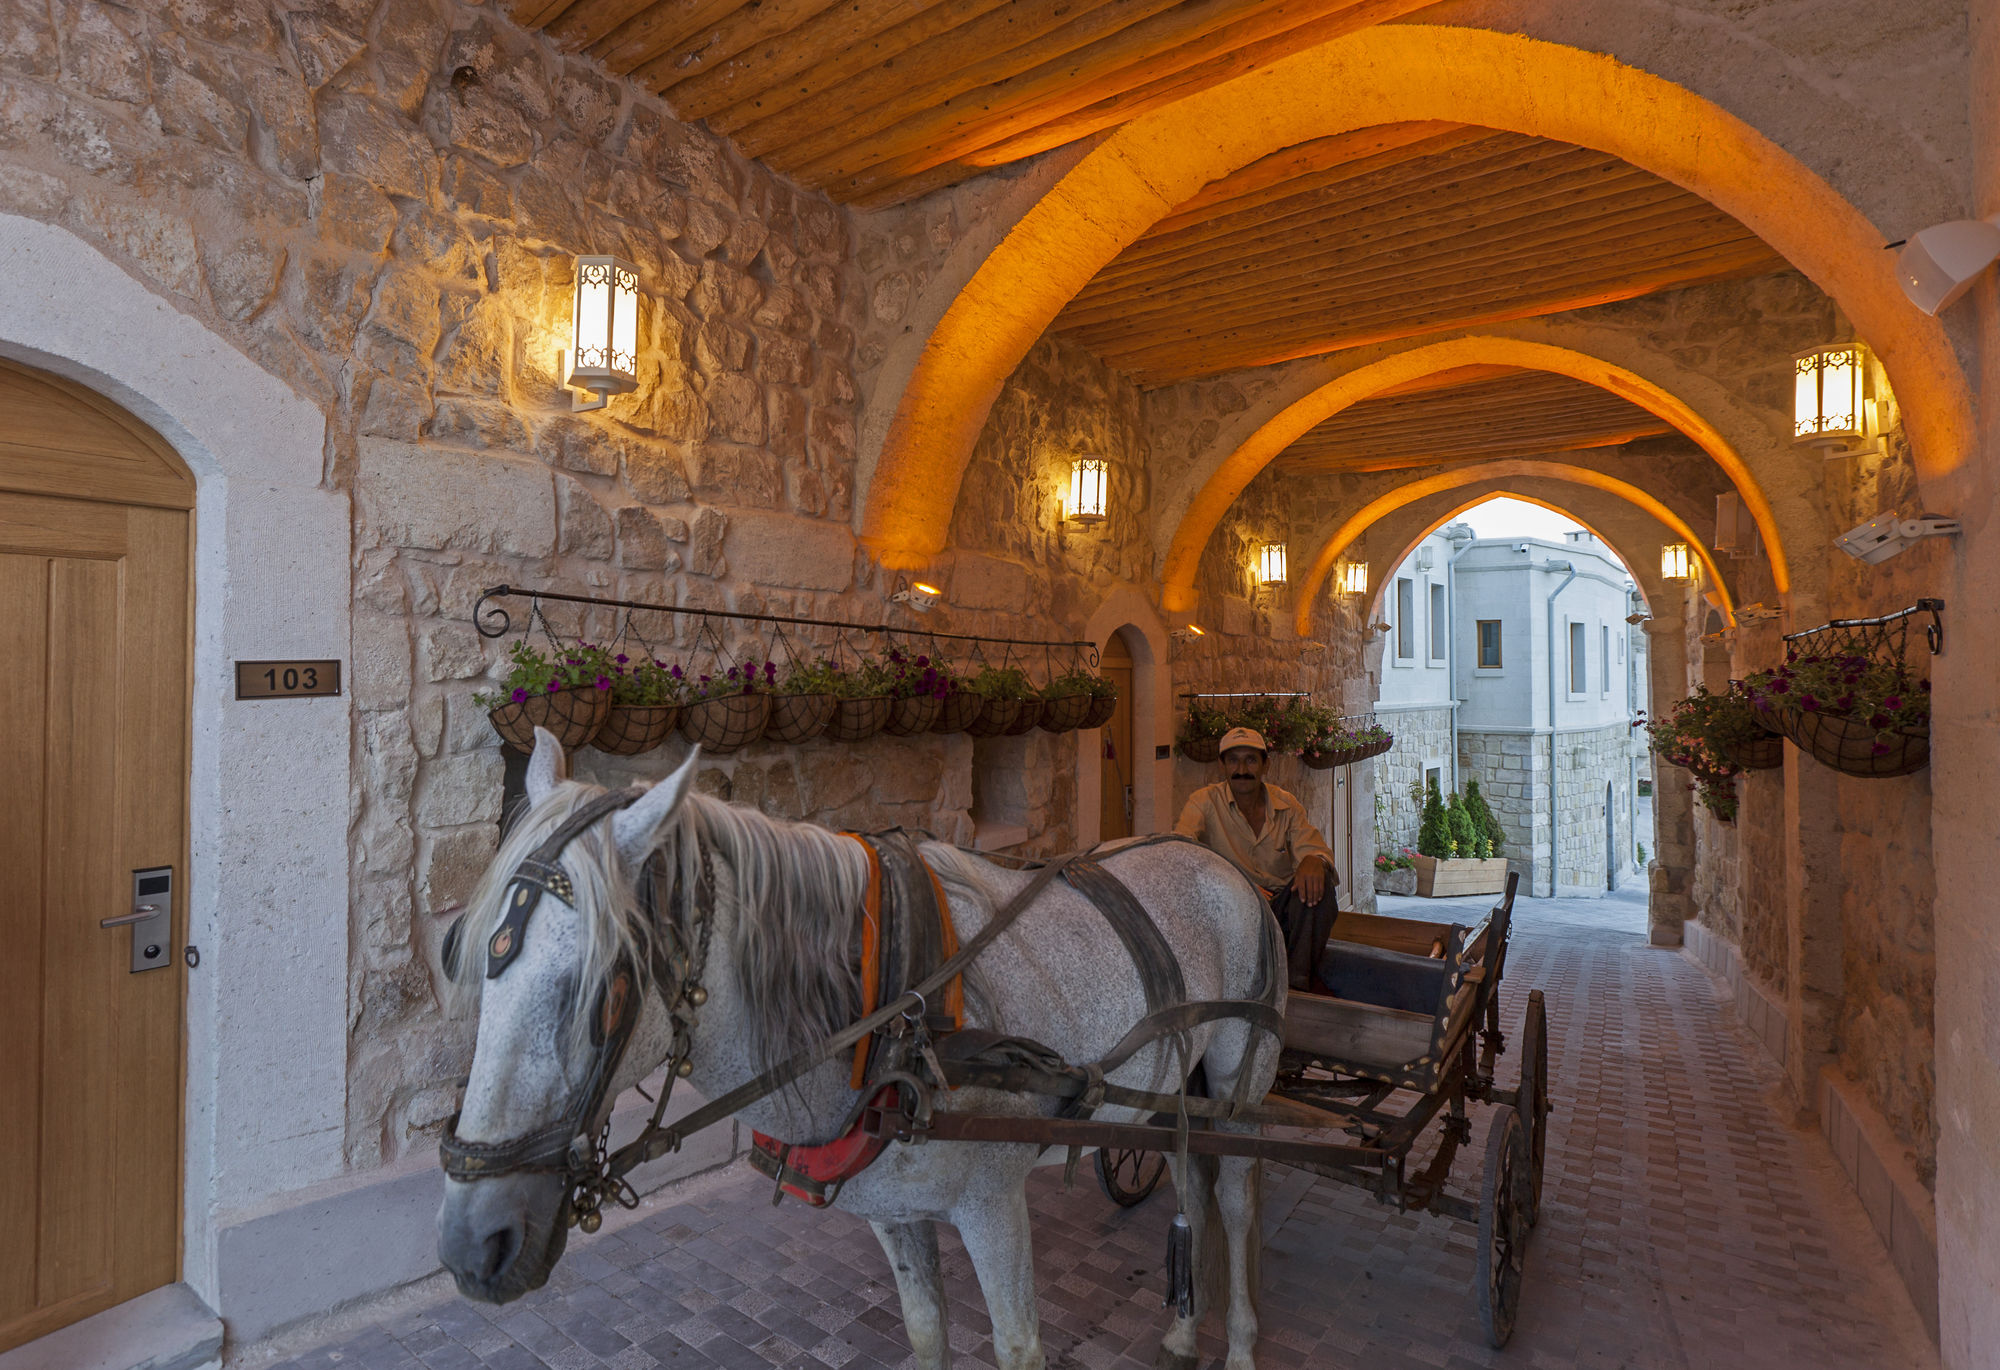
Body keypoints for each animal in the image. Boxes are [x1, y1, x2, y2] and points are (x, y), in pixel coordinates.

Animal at [436, 732, 1280, 1368]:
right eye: (463, 956)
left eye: (603, 988)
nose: (471, 1246)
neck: (892, 1021)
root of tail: (1221, 864)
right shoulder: (896, 1212)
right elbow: (927, 1334)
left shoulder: (994, 1204)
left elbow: (1019, 1348)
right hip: (1170, 1089)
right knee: (1190, 1177)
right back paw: (1182, 1329)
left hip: (1241, 1080)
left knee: (1239, 1201)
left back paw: (1240, 1344)